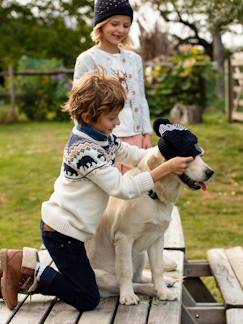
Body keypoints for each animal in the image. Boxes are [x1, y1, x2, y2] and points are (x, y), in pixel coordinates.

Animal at [85, 117, 213, 306]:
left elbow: (157, 269)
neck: (155, 193)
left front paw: (162, 291)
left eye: (201, 155)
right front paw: (128, 296)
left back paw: (163, 283)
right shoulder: (124, 238)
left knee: (139, 277)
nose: (210, 172)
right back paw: (144, 290)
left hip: (140, 254)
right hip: (102, 276)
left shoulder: (156, 237)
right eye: (189, 158)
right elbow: (125, 272)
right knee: (128, 281)